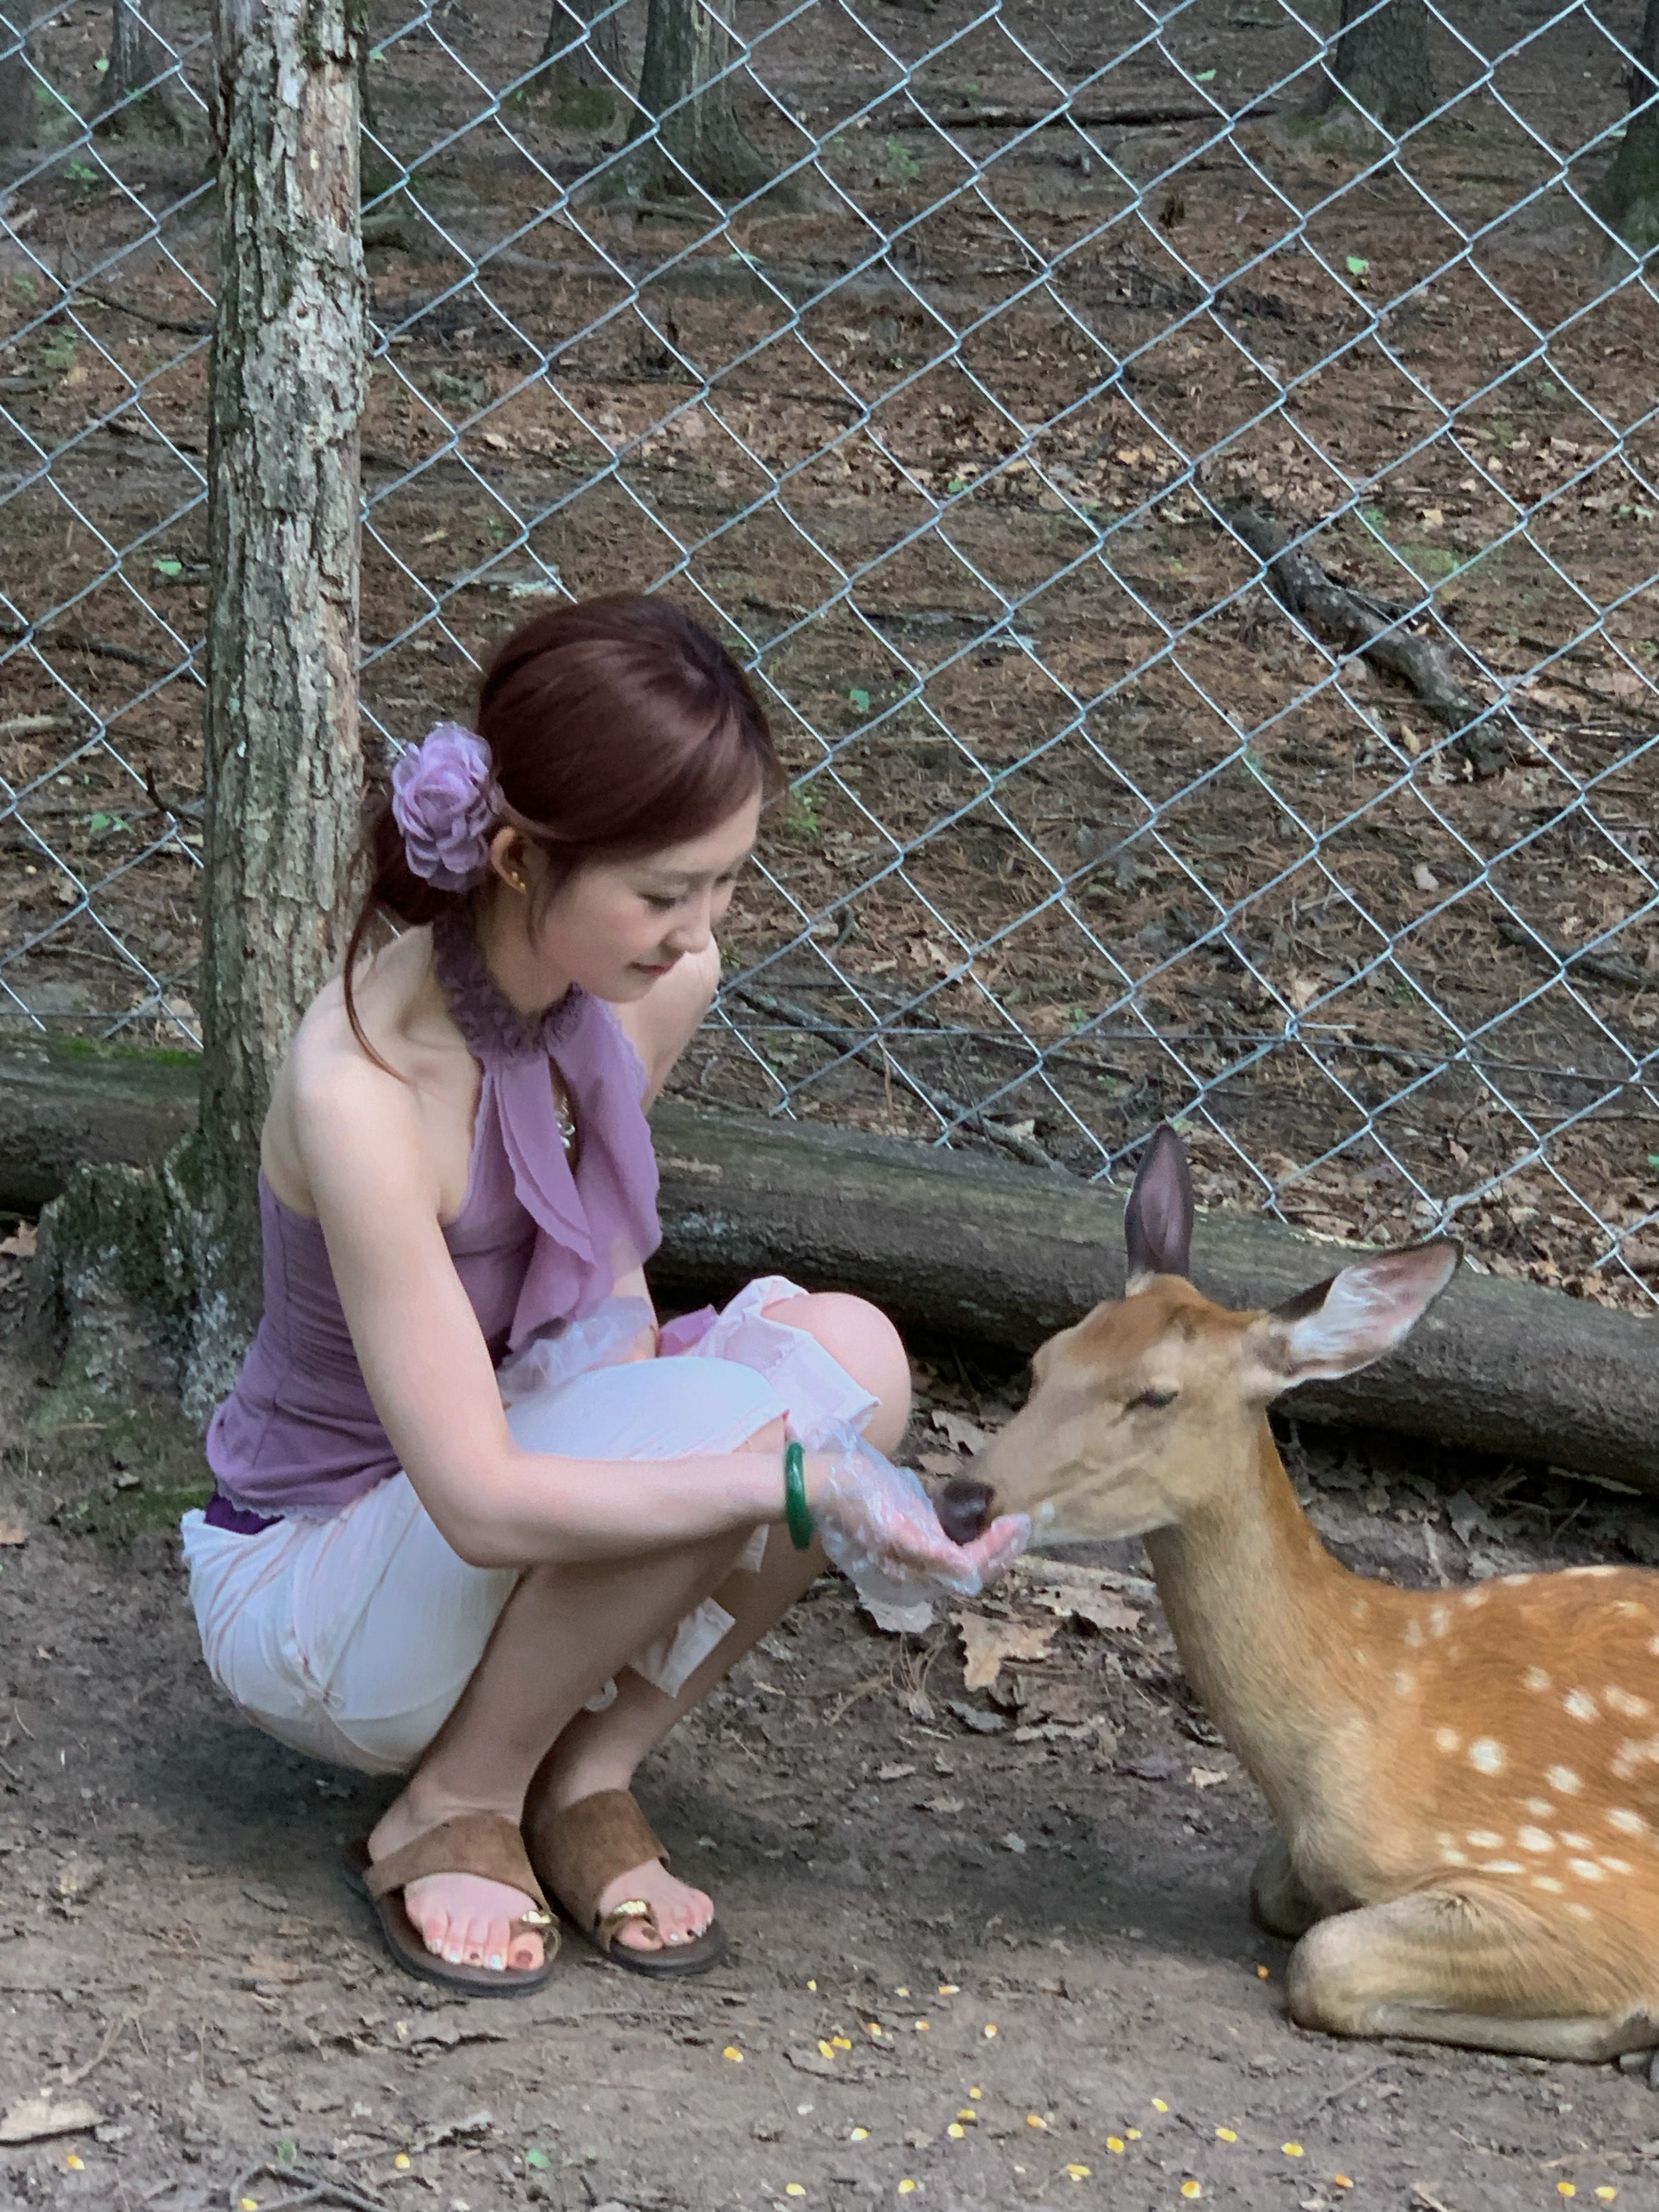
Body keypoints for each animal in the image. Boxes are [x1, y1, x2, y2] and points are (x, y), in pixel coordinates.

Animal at [938, 1125, 1659, 2062]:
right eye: (1042, 1361)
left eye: (1158, 1393)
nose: (962, 1500)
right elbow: (1275, 1894)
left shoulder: (1576, 1864)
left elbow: (1325, 1961)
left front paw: (1629, 2021)